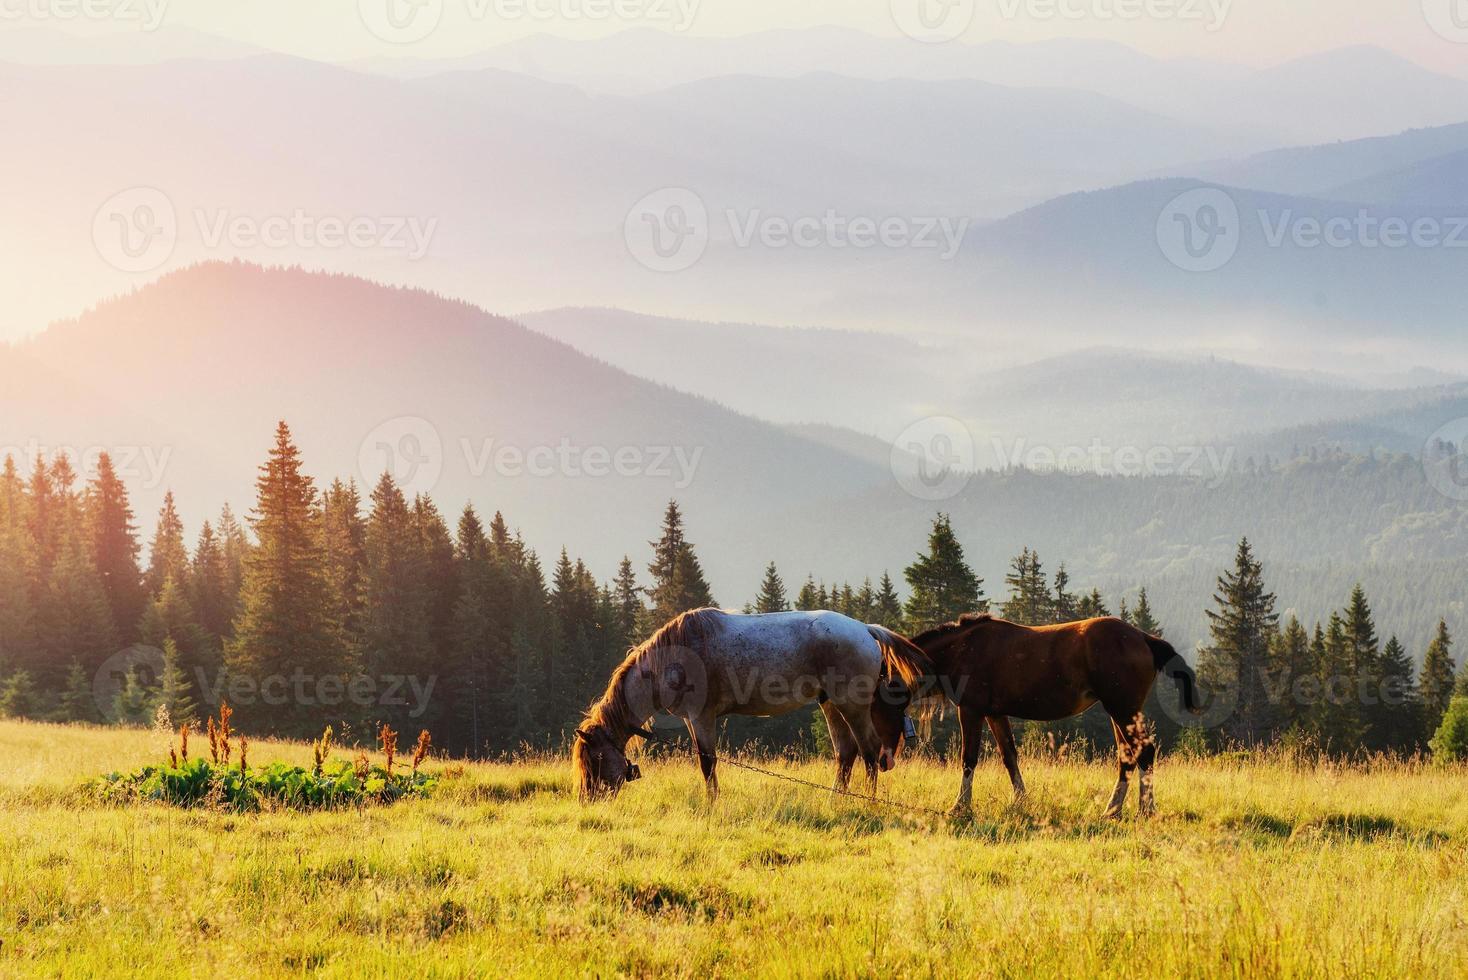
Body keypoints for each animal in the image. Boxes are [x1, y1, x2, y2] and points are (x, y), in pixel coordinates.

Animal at [916, 613, 1203, 821]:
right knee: (1127, 756)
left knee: (1144, 751)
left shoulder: (971, 710)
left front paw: (960, 807)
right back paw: (1113, 810)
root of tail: (1144, 638)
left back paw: (1146, 809)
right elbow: (1009, 757)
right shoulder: (995, 715)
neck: (964, 648)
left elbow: (968, 759)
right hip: (1121, 713)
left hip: (1123, 710)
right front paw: (1021, 801)